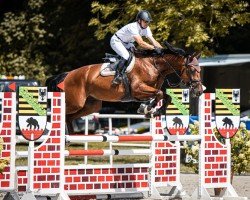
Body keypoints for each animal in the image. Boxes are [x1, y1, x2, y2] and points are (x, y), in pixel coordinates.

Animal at [46, 41, 203, 133]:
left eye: (199, 69)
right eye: (192, 70)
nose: (199, 91)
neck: (154, 65)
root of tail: (67, 74)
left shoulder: (147, 91)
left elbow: (165, 96)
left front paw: (151, 110)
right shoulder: (138, 90)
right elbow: (159, 94)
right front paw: (148, 109)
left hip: (91, 106)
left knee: (69, 117)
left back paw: (69, 138)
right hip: (75, 102)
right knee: (61, 113)